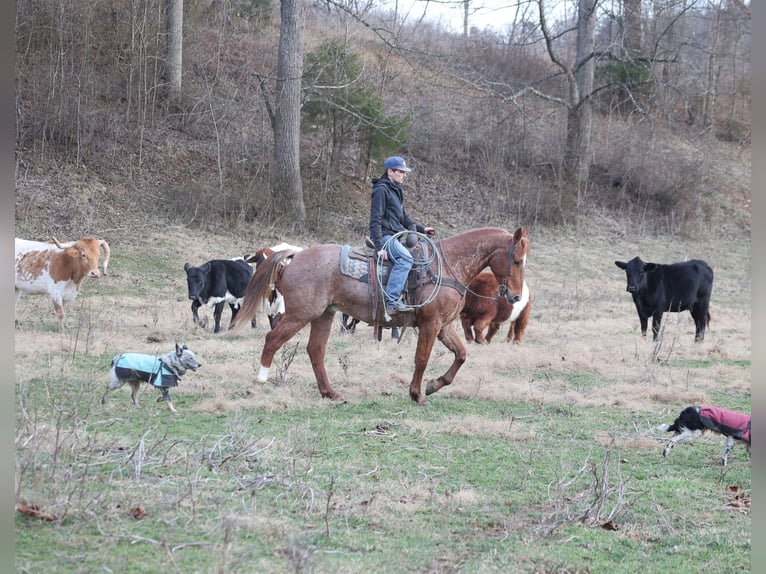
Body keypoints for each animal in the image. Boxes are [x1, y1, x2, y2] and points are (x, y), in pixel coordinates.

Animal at [232, 227, 529, 405]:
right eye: (517, 260)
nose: (515, 297)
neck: (447, 266)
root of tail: (294, 257)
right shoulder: (430, 324)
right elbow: (421, 359)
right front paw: (417, 394)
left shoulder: (444, 326)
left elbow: (461, 355)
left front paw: (434, 385)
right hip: (299, 315)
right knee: (273, 339)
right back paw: (261, 378)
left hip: (323, 316)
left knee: (315, 350)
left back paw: (330, 393)